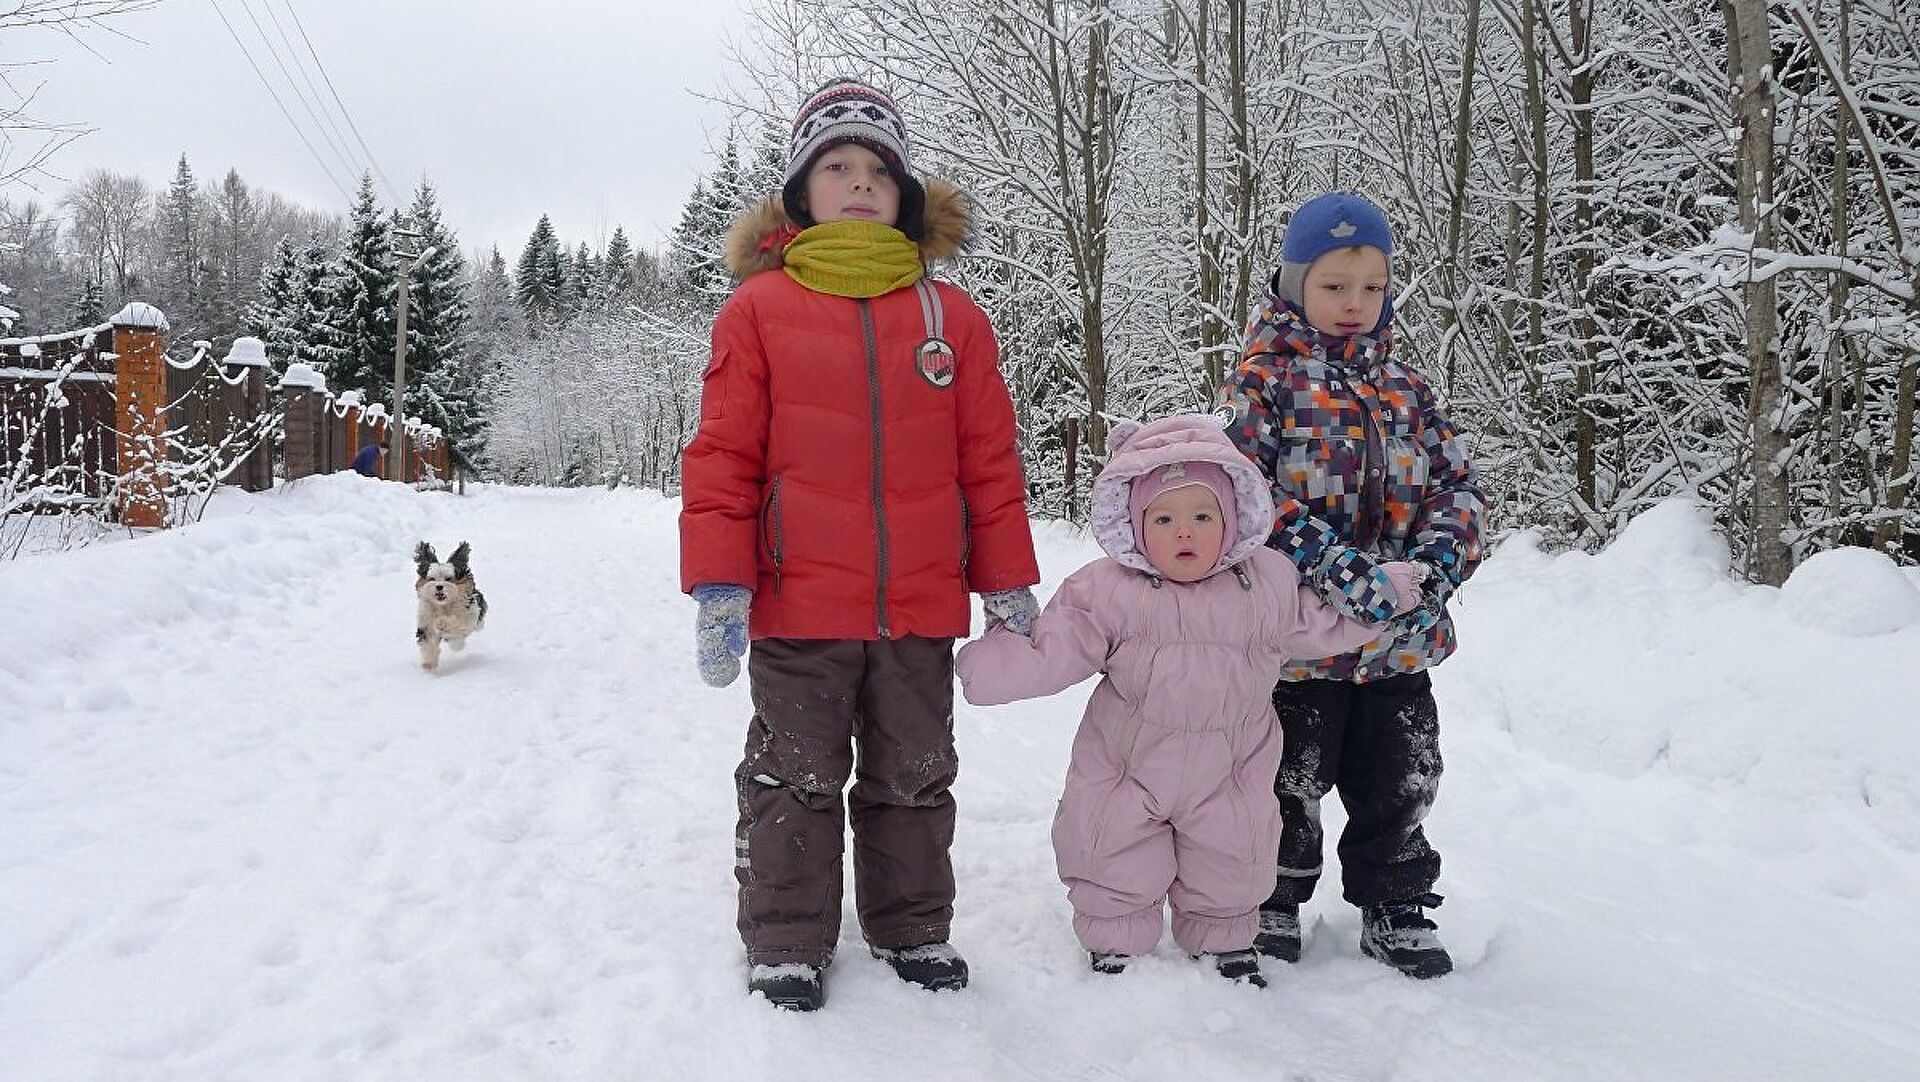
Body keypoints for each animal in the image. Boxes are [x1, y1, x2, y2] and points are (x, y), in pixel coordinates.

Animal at [414, 537, 487, 667]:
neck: (443, 606)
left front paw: (442, 623)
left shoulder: (467, 614)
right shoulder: (426, 622)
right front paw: (428, 664)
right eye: (431, 579)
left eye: (448, 579)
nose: (439, 587)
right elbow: (428, 642)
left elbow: (456, 622)